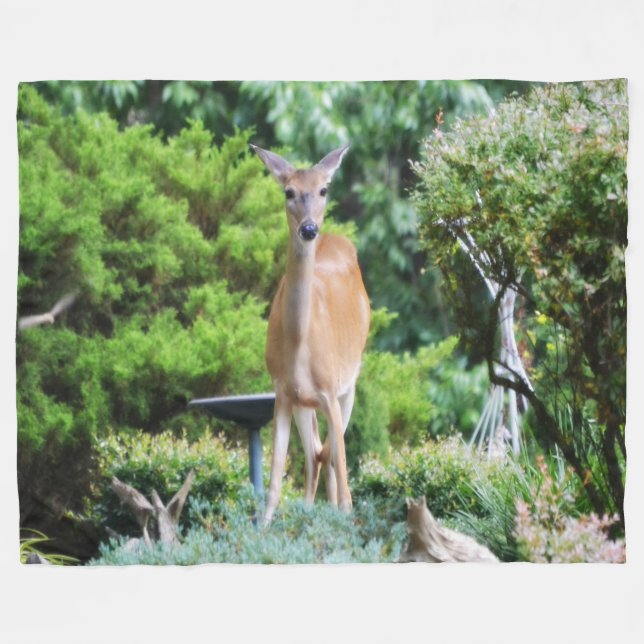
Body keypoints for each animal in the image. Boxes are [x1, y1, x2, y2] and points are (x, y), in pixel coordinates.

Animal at [250, 143, 370, 526]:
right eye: (288, 192)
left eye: (323, 190)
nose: (309, 228)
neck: (299, 342)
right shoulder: (283, 393)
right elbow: (274, 485)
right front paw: (262, 529)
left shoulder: (330, 390)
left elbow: (345, 483)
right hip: (306, 402)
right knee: (316, 455)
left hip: (350, 383)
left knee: (328, 456)